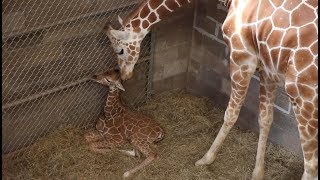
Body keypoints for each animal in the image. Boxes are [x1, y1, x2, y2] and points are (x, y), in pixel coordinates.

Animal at [104, 0, 318, 179]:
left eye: (120, 51)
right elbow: (265, 119)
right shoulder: (267, 69)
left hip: (302, 93)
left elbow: (231, 114)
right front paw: (258, 173)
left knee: (311, 162)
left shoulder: (242, 59)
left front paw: (206, 158)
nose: (125, 76)